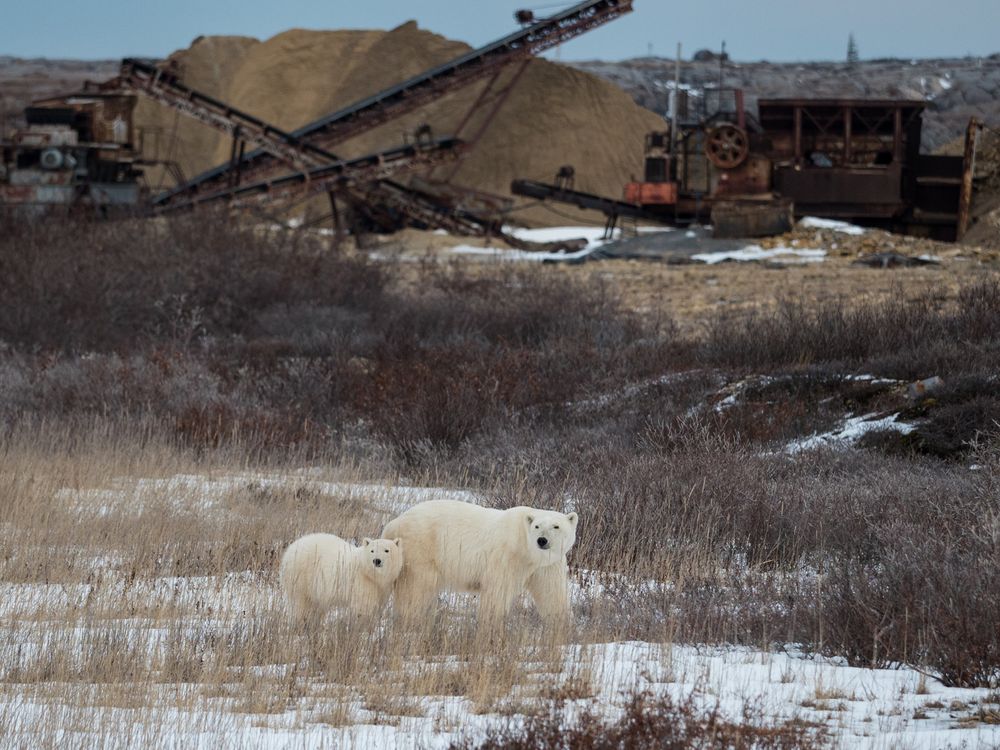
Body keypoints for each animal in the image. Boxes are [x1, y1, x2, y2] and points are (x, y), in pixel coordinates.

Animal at [378, 502, 580, 632]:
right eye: (537, 526)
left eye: (556, 526)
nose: (542, 540)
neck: (526, 549)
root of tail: (392, 524)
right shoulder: (506, 556)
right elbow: (497, 591)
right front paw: (491, 628)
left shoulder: (548, 564)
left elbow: (552, 593)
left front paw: (563, 627)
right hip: (420, 549)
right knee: (415, 590)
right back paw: (410, 623)